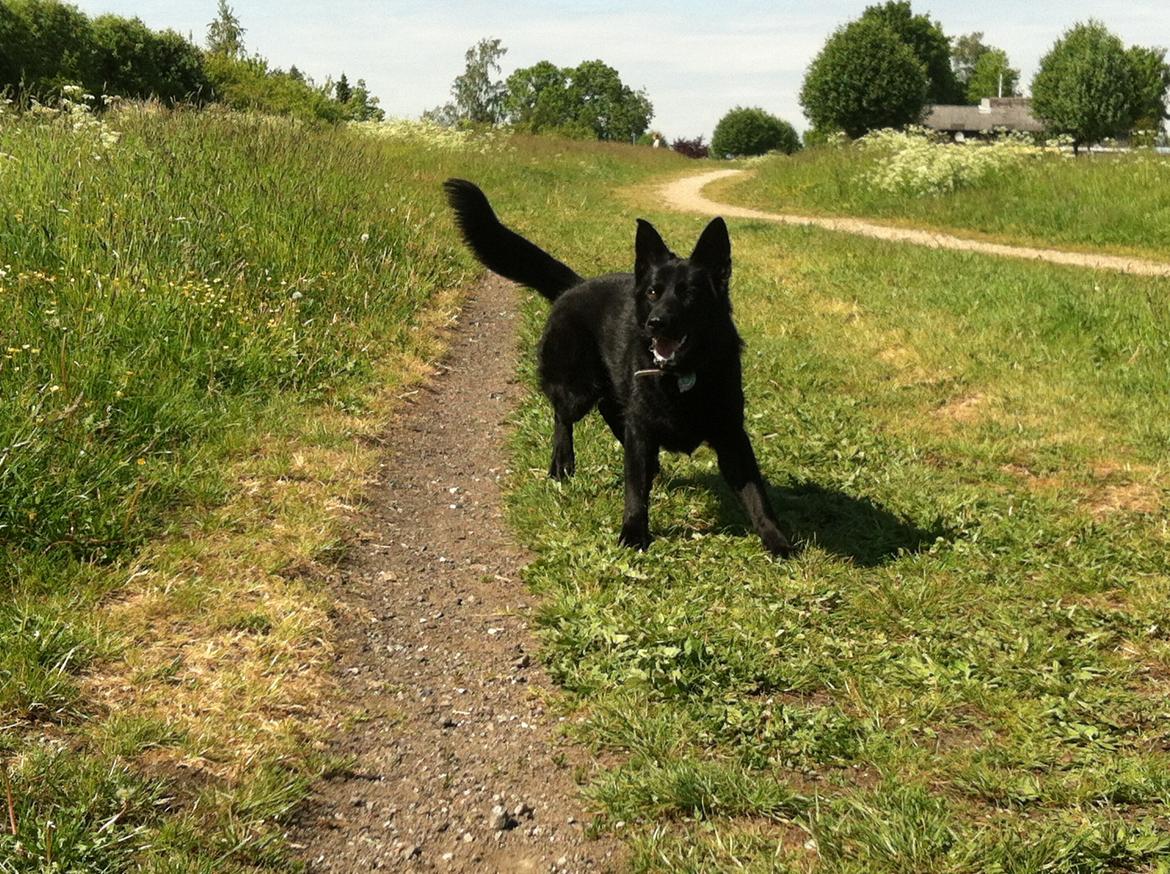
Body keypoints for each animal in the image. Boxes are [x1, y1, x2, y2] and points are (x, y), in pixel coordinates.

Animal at [442, 180, 790, 556]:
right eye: (653, 293)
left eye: (690, 294)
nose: (656, 323)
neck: (682, 374)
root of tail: (573, 287)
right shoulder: (642, 428)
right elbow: (634, 489)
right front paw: (633, 533)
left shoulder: (731, 436)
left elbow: (757, 495)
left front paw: (777, 539)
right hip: (578, 390)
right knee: (563, 416)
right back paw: (562, 462)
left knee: (611, 413)